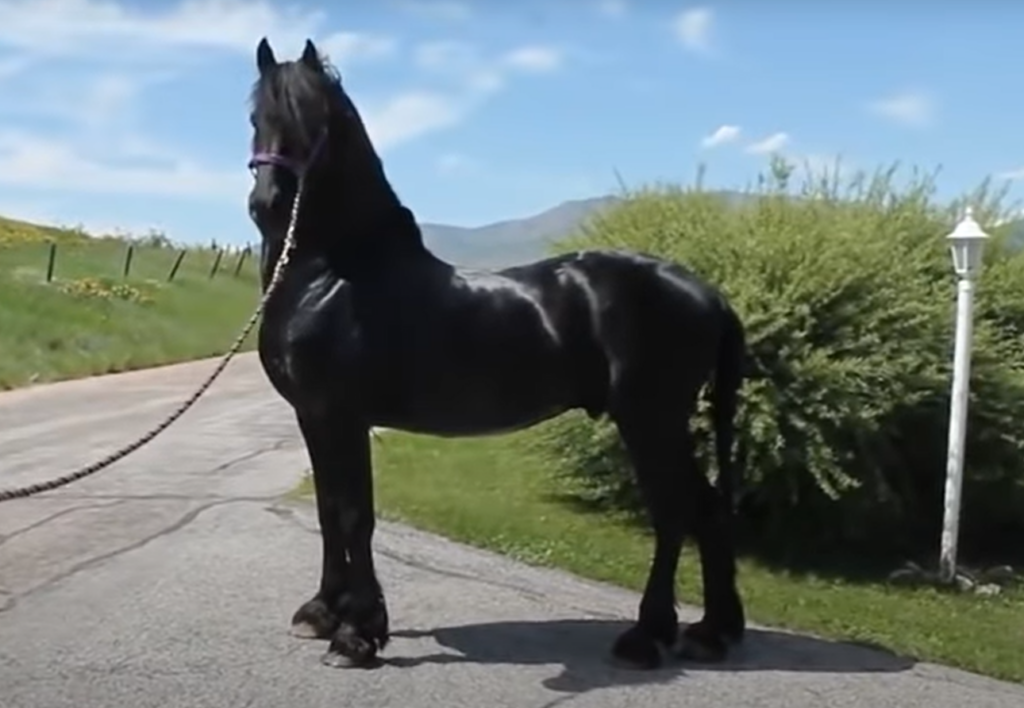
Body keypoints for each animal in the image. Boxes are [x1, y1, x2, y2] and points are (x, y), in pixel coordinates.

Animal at [246, 37, 748, 671]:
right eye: (256, 117)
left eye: (316, 122)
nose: (267, 203)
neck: (336, 274)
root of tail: (707, 293)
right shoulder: (313, 416)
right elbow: (329, 512)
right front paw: (322, 613)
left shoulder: (341, 415)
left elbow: (355, 516)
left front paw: (358, 635)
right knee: (706, 511)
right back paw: (712, 631)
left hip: (649, 419)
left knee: (675, 513)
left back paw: (647, 636)